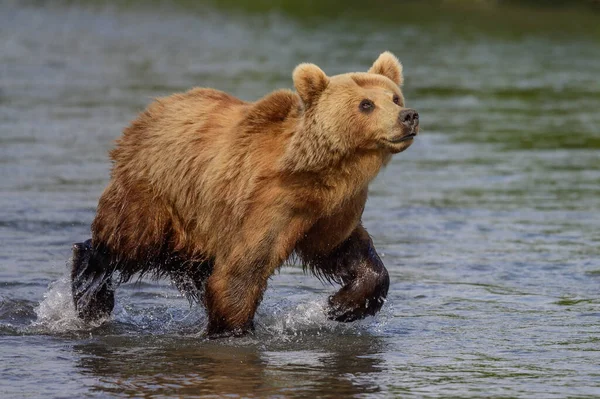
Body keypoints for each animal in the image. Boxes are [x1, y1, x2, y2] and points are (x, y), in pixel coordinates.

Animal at [71, 50, 418, 338]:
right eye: (366, 104)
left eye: (395, 97)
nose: (409, 115)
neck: (319, 175)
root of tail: (151, 110)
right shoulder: (265, 202)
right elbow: (242, 270)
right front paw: (234, 331)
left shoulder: (331, 211)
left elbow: (347, 251)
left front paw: (340, 306)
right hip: (157, 193)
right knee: (125, 239)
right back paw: (91, 296)